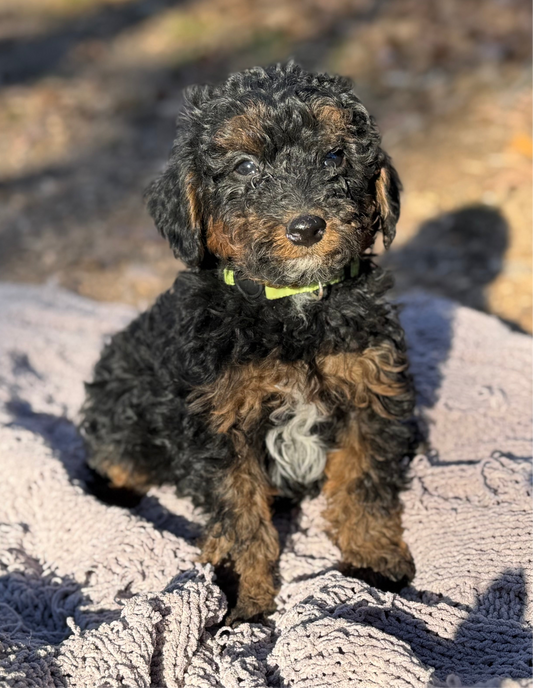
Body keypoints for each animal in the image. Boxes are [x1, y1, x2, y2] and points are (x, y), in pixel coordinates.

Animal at [81, 63, 418, 624]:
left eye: (334, 155)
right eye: (243, 167)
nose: (307, 227)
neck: (293, 304)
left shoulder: (370, 389)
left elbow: (363, 481)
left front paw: (373, 558)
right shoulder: (221, 424)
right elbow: (240, 515)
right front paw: (243, 592)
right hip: (123, 415)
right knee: (116, 461)